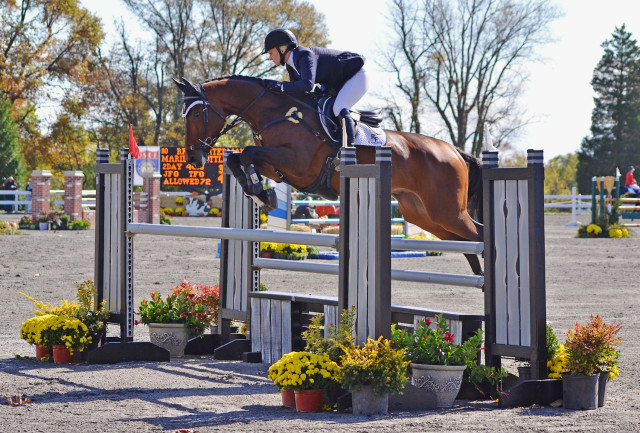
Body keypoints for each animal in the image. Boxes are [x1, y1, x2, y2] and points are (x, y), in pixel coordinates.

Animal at [172, 76, 482, 276]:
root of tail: (453, 150)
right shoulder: (278, 167)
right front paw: (260, 193)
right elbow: (239, 158)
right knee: (467, 244)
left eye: (196, 114)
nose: (193, 158)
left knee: (478, 235)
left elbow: (247, 152)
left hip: (448, 212)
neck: (280, 112)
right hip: (424, 215)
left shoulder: (297, 164)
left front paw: (262, 194)